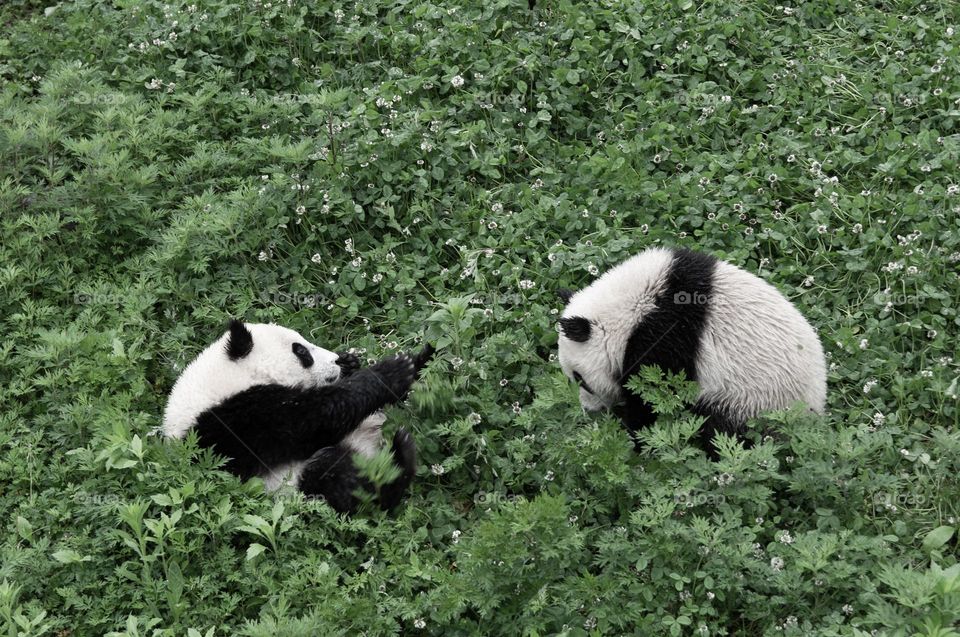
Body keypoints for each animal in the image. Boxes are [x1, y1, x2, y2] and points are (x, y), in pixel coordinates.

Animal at [163, 319, 433, 513]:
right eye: (301, 350)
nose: (335, 360)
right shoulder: (235, 422)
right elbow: (313, 421)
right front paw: (391, 371)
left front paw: (351, 363)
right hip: (293, 484)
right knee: (342, 482)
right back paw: (401, 456)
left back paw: (424, 358)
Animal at [557, 247, 826, 452]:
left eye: (580, 379)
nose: (589, 409)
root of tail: (814, 413)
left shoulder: (662, 338)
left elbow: (649, 395)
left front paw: (634, 435)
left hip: (753, 401)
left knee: (722, 429)